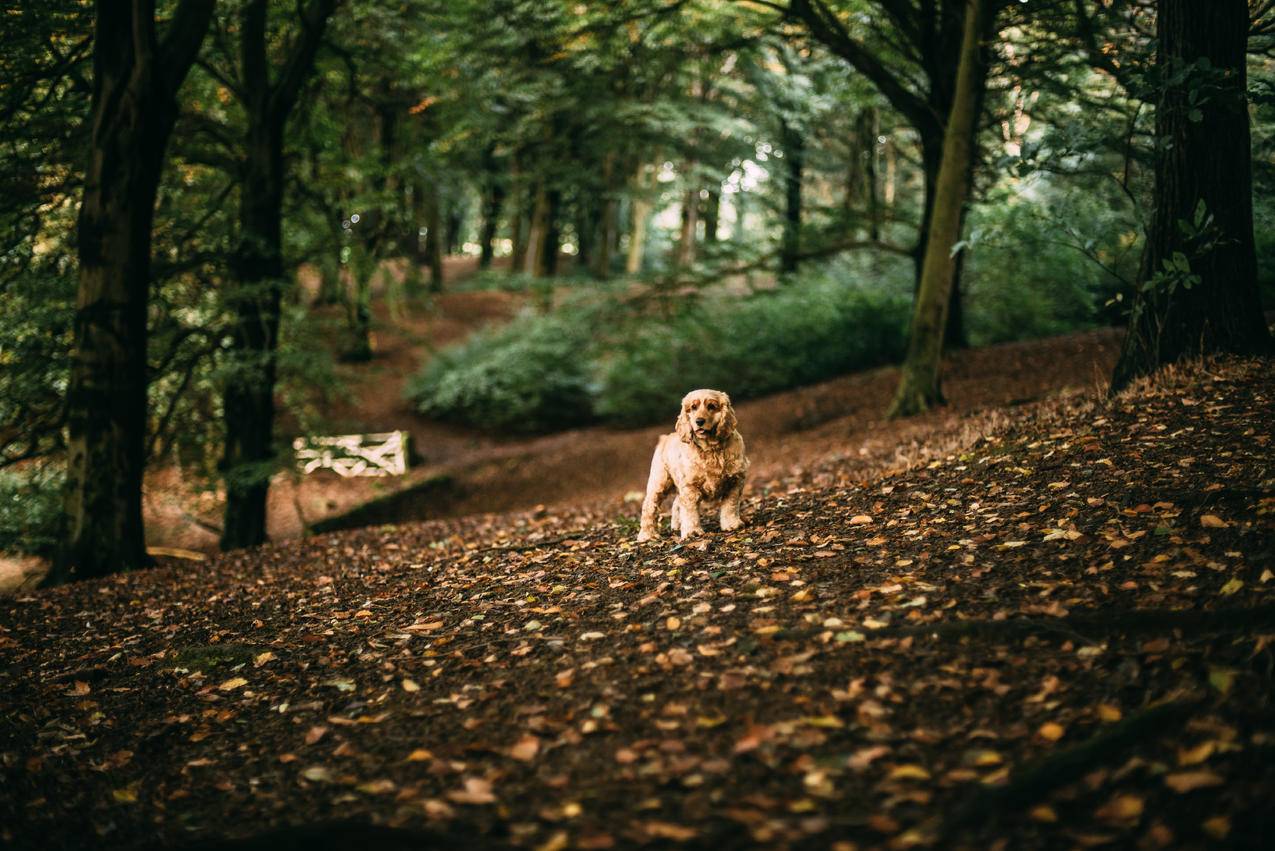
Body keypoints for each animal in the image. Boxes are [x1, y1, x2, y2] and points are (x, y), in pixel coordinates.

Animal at [637, 390, 744, 543]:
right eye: (693, 407)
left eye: (711, 406)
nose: (699, 421)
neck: (711, 449)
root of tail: (664, 438)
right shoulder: (690, 486)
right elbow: (689, 511)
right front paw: (692, 532)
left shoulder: (734, 481)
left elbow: (730, 505)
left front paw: (731, 524)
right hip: (659, 482)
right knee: (649, 506)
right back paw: (647, 535)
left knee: (676, 503)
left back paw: (676, 526)